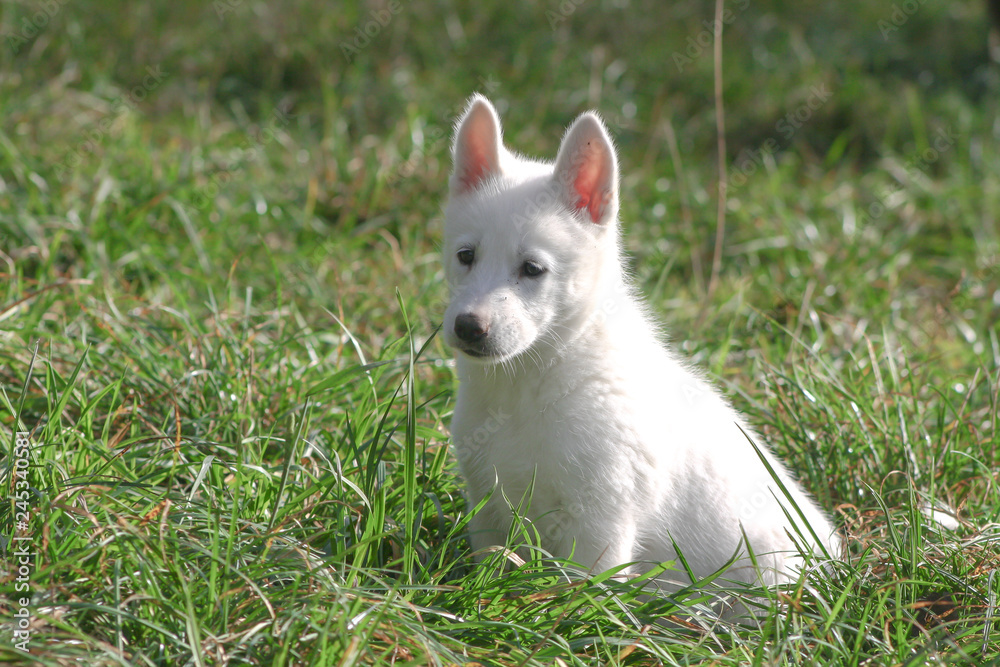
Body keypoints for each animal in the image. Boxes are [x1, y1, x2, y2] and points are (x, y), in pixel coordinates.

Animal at [442, 92, 840, 596]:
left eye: (532, 269)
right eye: (465, 256)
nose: (468, 327)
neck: (531, 383)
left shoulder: (600, 521)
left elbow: (582, 593)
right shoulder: (487, 508)